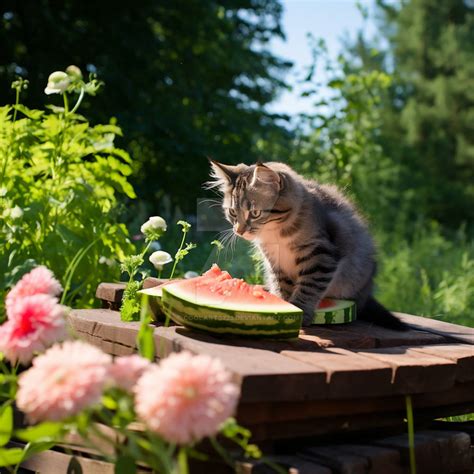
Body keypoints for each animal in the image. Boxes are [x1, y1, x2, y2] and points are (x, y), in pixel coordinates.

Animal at [207, 160, 408, 330]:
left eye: (255, 213)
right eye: (233, 212)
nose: (239, 230)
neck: (276, 234)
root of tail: (367, 291)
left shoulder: (321, 255)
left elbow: (309, 286)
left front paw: (299, 310)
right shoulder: (276, 262)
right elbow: (283, 286)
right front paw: (283, 304)